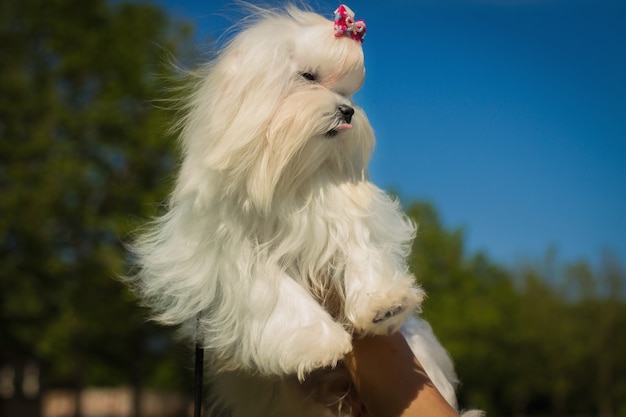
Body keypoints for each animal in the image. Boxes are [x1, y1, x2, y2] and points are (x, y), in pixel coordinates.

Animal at [130, 4, 482, 416]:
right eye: (308, 77)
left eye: (347, 91)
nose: (347, 111)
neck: (288, 173)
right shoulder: (233, 254)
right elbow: (275, 291)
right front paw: (318, 344)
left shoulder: (343, 212)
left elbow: (360, 247)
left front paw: (384, 304)